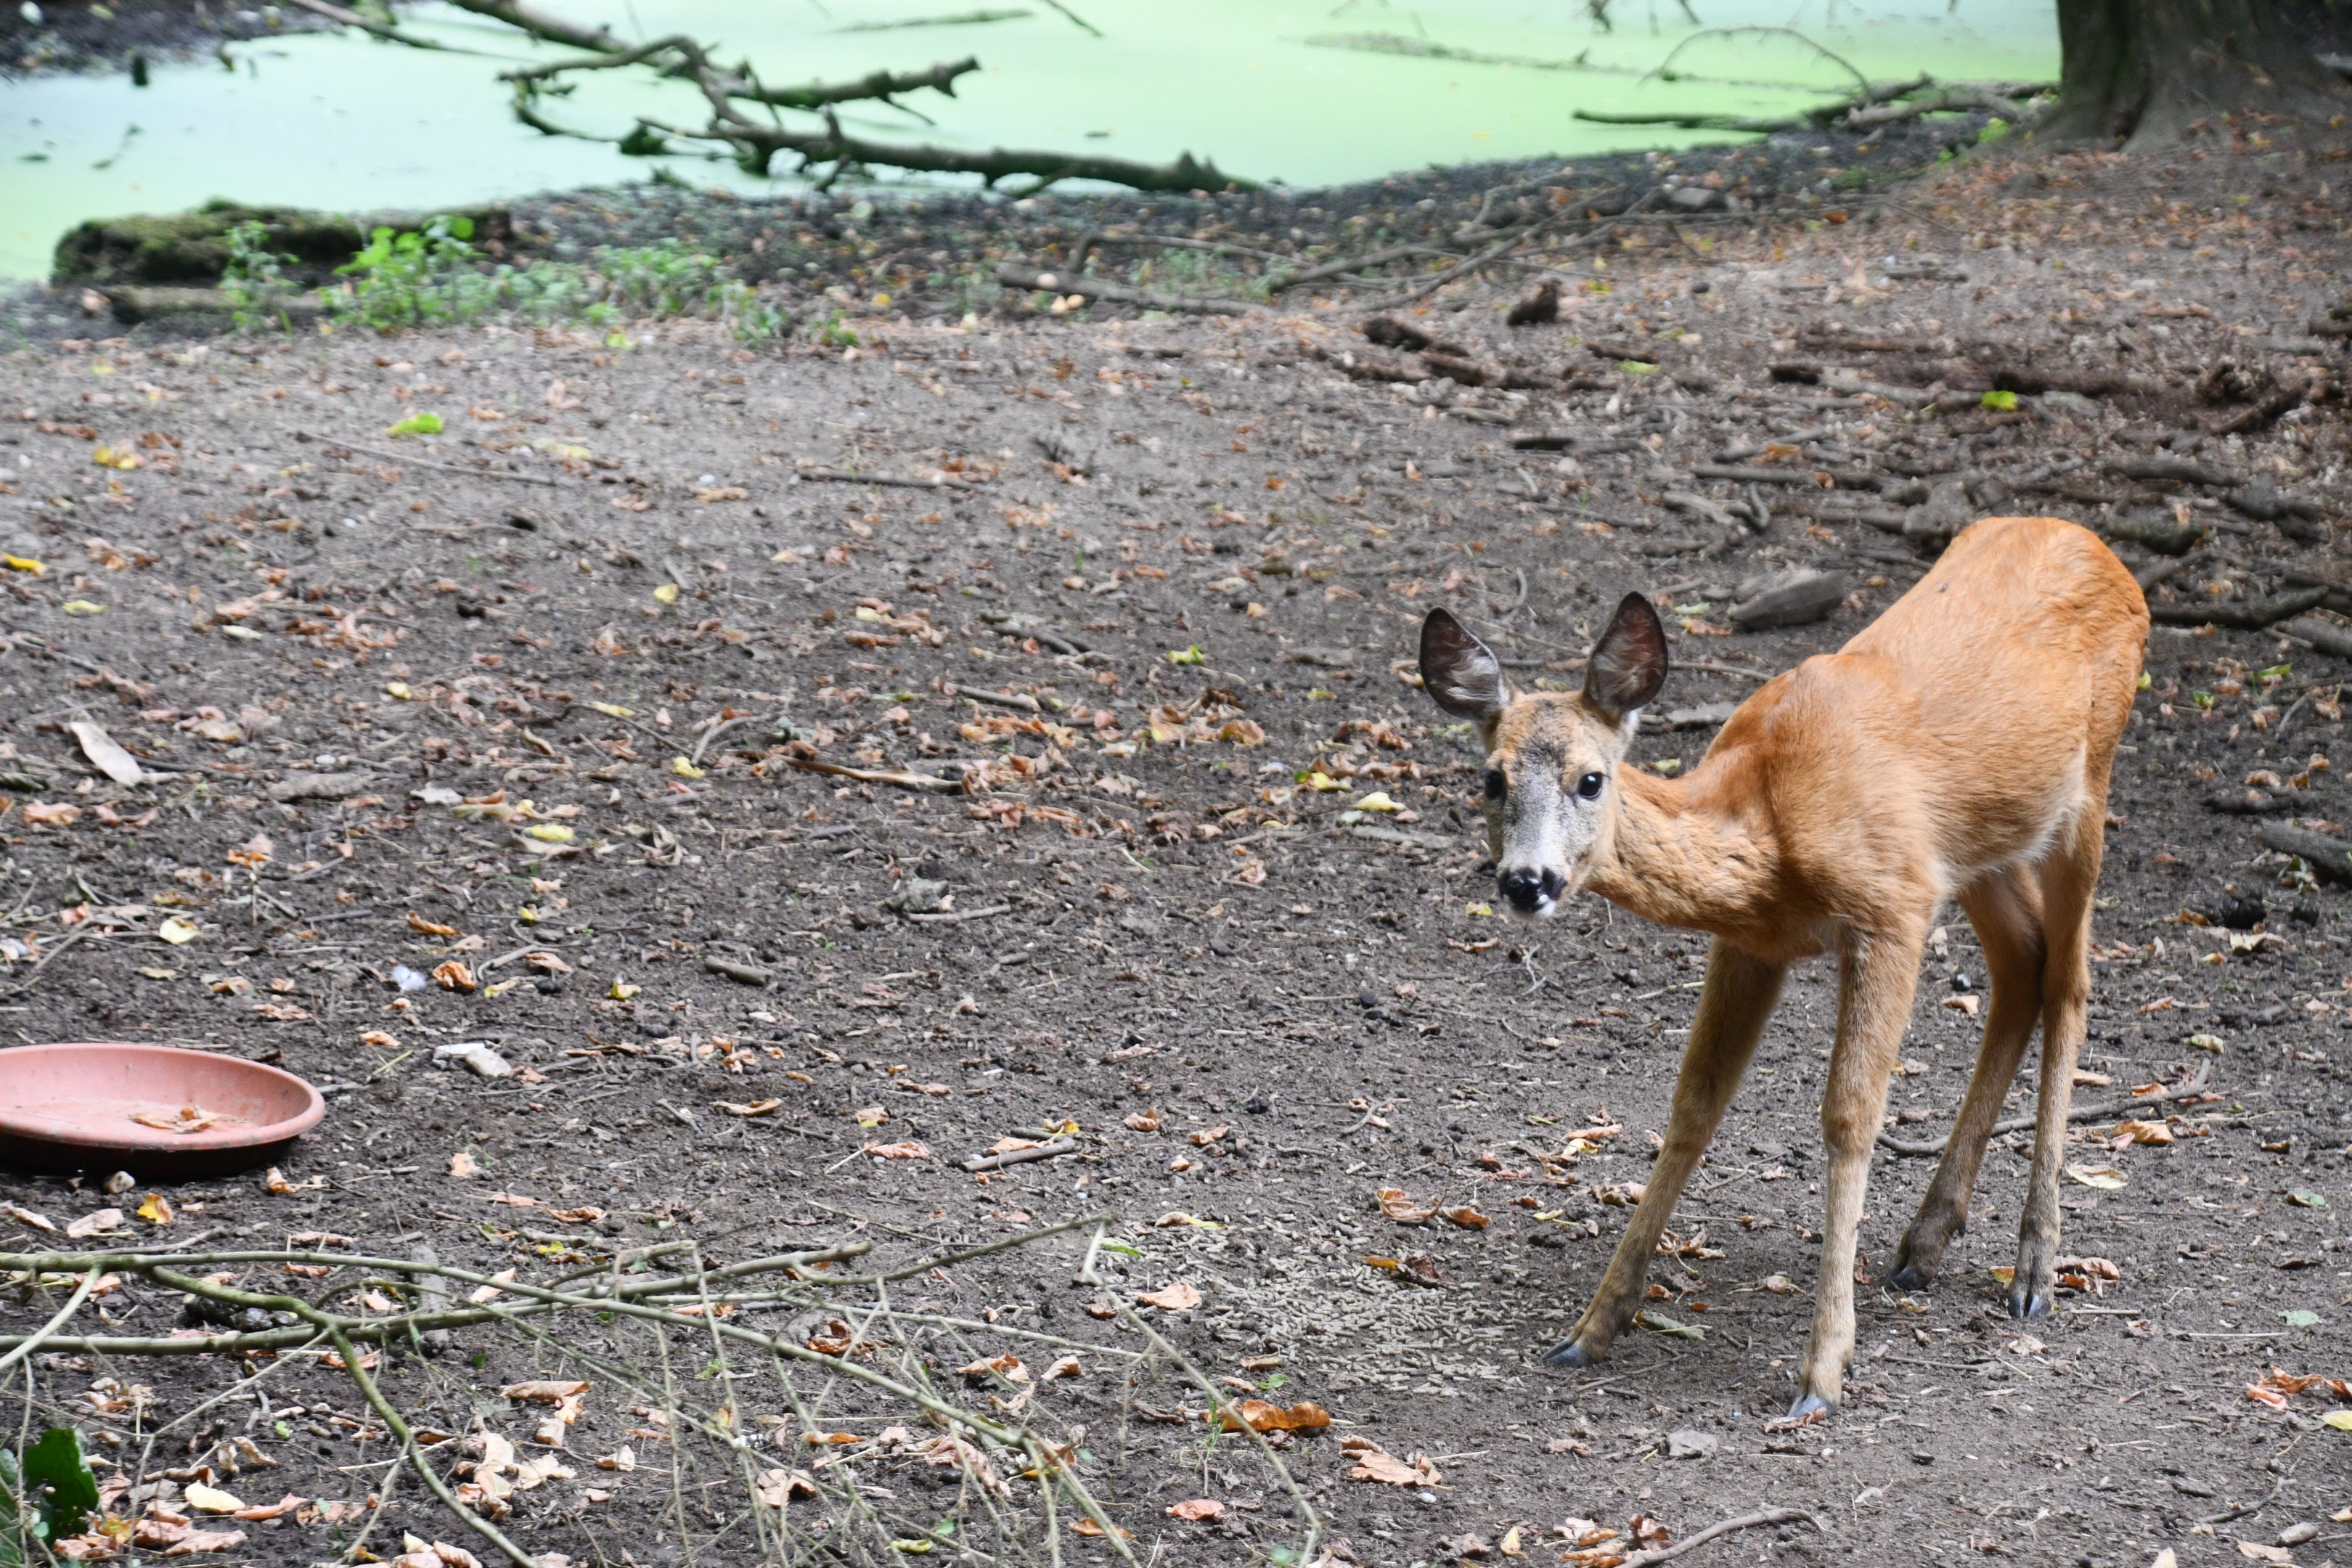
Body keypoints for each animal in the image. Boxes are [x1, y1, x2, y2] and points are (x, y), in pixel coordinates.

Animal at [1417, 515, 2148, 1418]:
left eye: (1591, 779)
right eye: (1491, 779)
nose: (1527, 881)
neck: (1766, 826)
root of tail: (2101, 549)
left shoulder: (1892, 906)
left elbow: (1849, 1116)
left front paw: (1822, 1370)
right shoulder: (1755, 942)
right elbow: (1695, 1105)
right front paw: (1592, 1327)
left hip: (2089, 787)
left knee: (2070, 982)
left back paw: (2035, 1267)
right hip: (1985, 849)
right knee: (2023, 965)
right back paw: (1925, 1243)